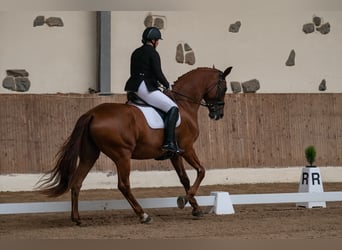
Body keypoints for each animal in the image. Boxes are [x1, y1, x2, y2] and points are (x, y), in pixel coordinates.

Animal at [39, 66, 232, 225]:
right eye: (223, 88)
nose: (219, 114)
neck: (183, 104)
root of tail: (92, 113)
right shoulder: (188, 147)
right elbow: (201, 171)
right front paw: (184, 200)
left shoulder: (176, 153)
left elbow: (184, 178)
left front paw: (196, 208)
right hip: (122, 155)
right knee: (123, 185)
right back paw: (143, 215)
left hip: (90, 154)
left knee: (77, 182)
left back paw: (77, 219)